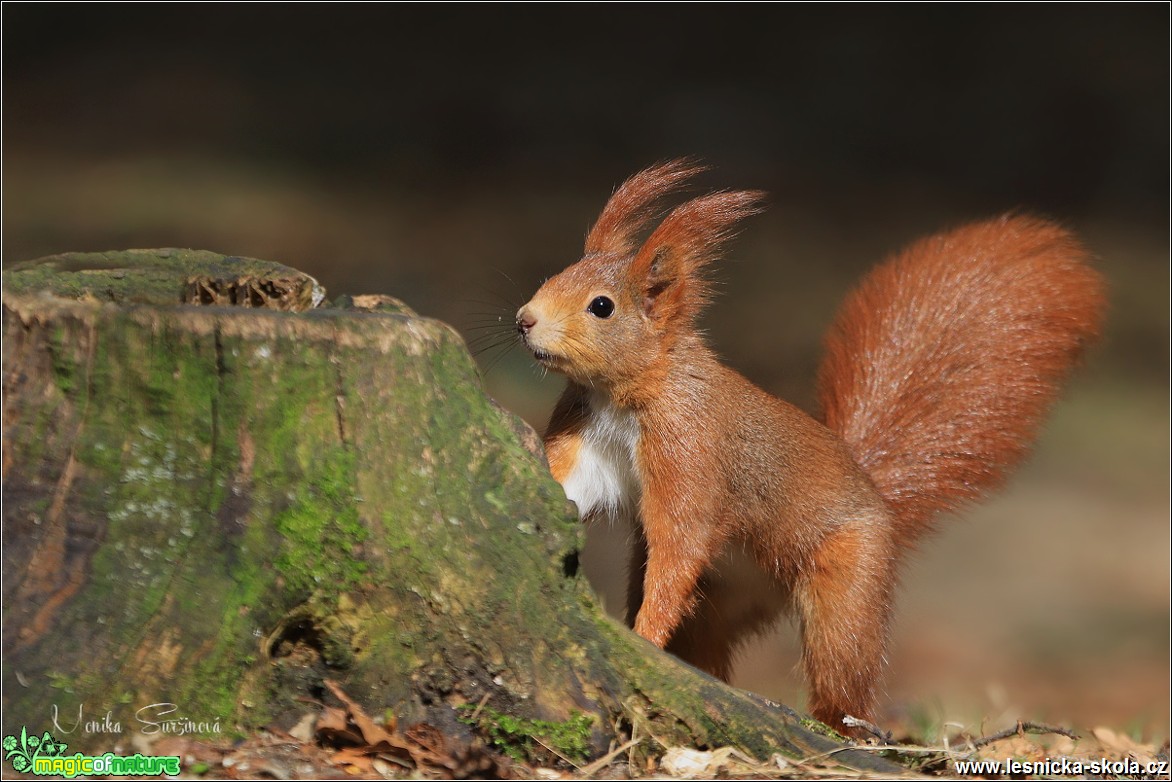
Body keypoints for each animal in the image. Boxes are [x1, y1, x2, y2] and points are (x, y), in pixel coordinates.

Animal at [515, 161, 1106, 736]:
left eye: (602, 307)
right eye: (555, 276)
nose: (524, 320)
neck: (622, 394)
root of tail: (875, 491)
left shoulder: (690, 446)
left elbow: (680, 541)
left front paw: (643, 634)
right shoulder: (588, 434)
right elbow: (575, 485)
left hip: (848, 585)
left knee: (844, 671)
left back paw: (844, 727)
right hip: (721, 598)